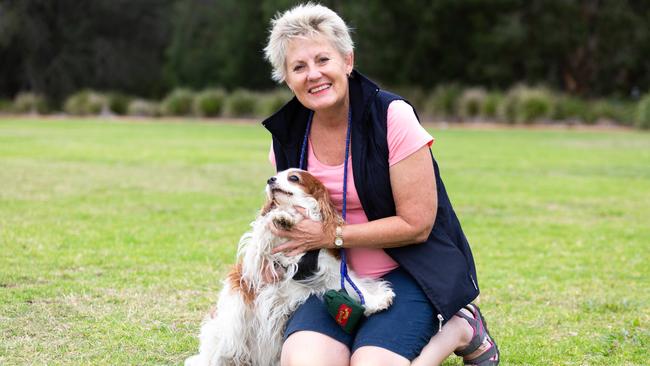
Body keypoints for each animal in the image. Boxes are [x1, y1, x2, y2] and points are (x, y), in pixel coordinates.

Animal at [184, 169, 394, 366]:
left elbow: (353, 285)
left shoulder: (328, 270)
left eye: (293, 178)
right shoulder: (259, 258)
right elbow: (266, 228)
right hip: (234, 318)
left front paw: (376, 299)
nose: (270, 179)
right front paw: (281, 218)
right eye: (276, 175)